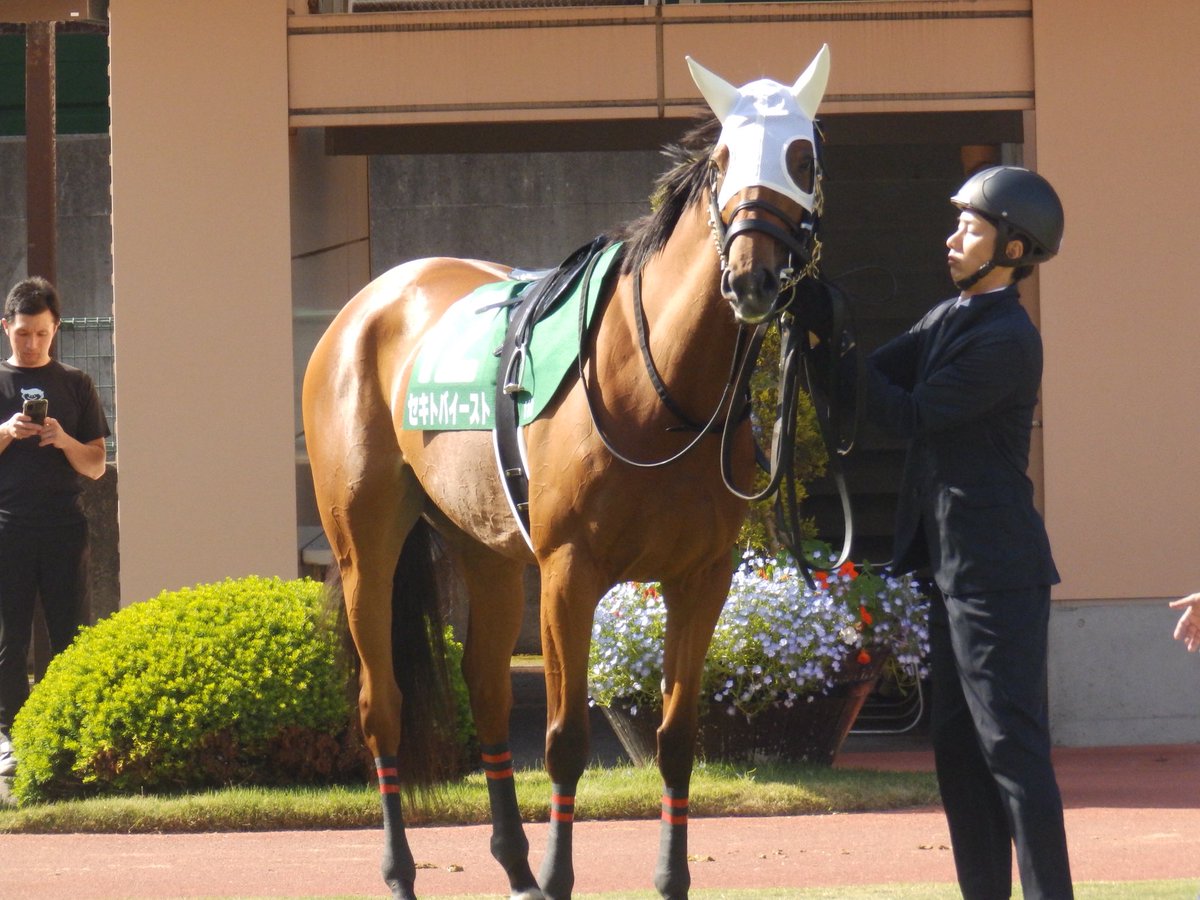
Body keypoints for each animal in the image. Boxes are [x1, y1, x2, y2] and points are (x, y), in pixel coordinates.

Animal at [302, 46, 832, 900]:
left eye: (802, 157)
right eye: (722, 160)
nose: (751, 277)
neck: (656, 388)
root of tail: (369, 302)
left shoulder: (703, 576)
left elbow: (676, 735)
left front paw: (669, 878)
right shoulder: (567, 571)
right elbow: (564, 739)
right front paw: (559, 875)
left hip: (483, 546)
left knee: (485, 691)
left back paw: (513, 863)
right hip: (364, 546)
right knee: (381, 706)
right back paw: (402, 871)